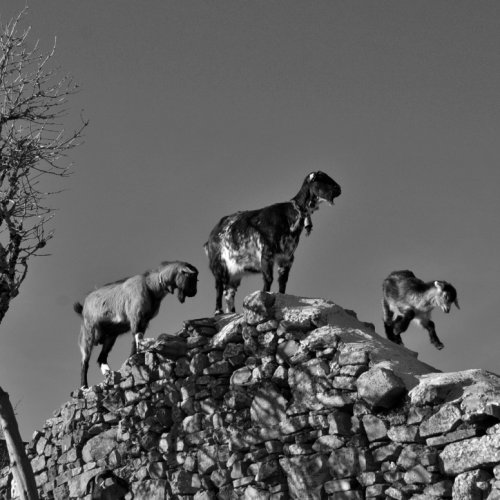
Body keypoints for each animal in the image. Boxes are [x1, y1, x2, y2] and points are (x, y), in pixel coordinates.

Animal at [203, 170, 340, 314]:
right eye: (321, 178)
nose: (338, 189)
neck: (289, 216)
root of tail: (210, 237)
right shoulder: (267, 254)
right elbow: (268, 279)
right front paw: (264, 298)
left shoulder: (287, 258)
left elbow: (283, 281)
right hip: (218, 265)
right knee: (219, 287)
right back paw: (218, 311)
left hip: (235, 271)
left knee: (229, 292)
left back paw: (231, 312)